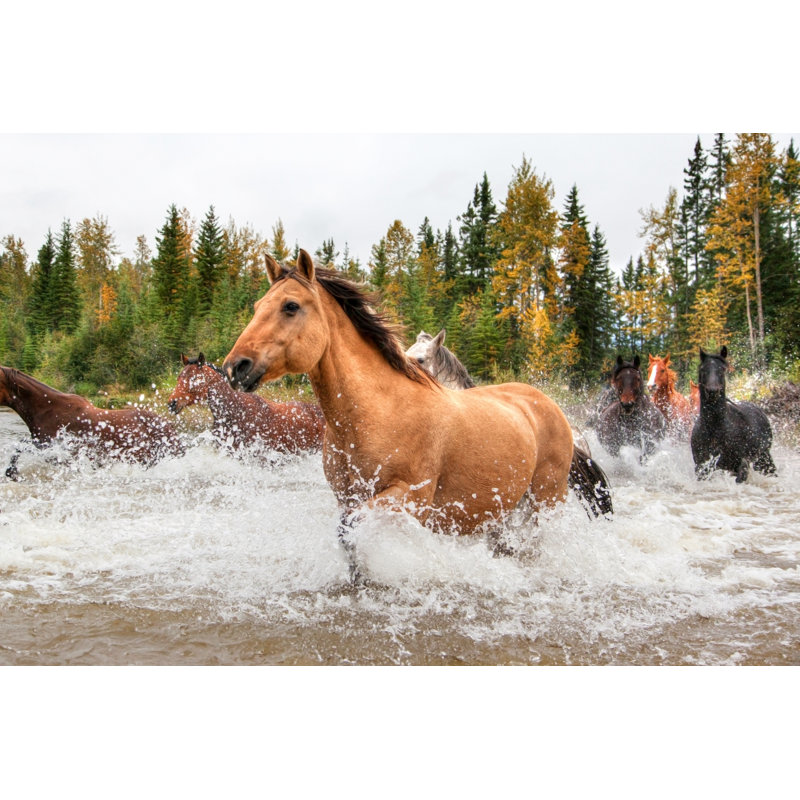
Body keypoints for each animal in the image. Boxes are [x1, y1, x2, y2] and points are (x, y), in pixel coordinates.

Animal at [222, 251, 612, 579]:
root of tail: (552, 408)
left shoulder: (407, 498)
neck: (378, 412)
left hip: (545, 501)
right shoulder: (348, 497)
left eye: (290, 306)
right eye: (257, 306)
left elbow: (350, 529)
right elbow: (349, 542)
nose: (235, 367)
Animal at [691, 346, 776, 482]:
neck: (715, 429)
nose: (712, 391)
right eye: (703, 369)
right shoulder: (702, 467)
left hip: (764, 456)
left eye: (722, 369)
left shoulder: (741, 465)